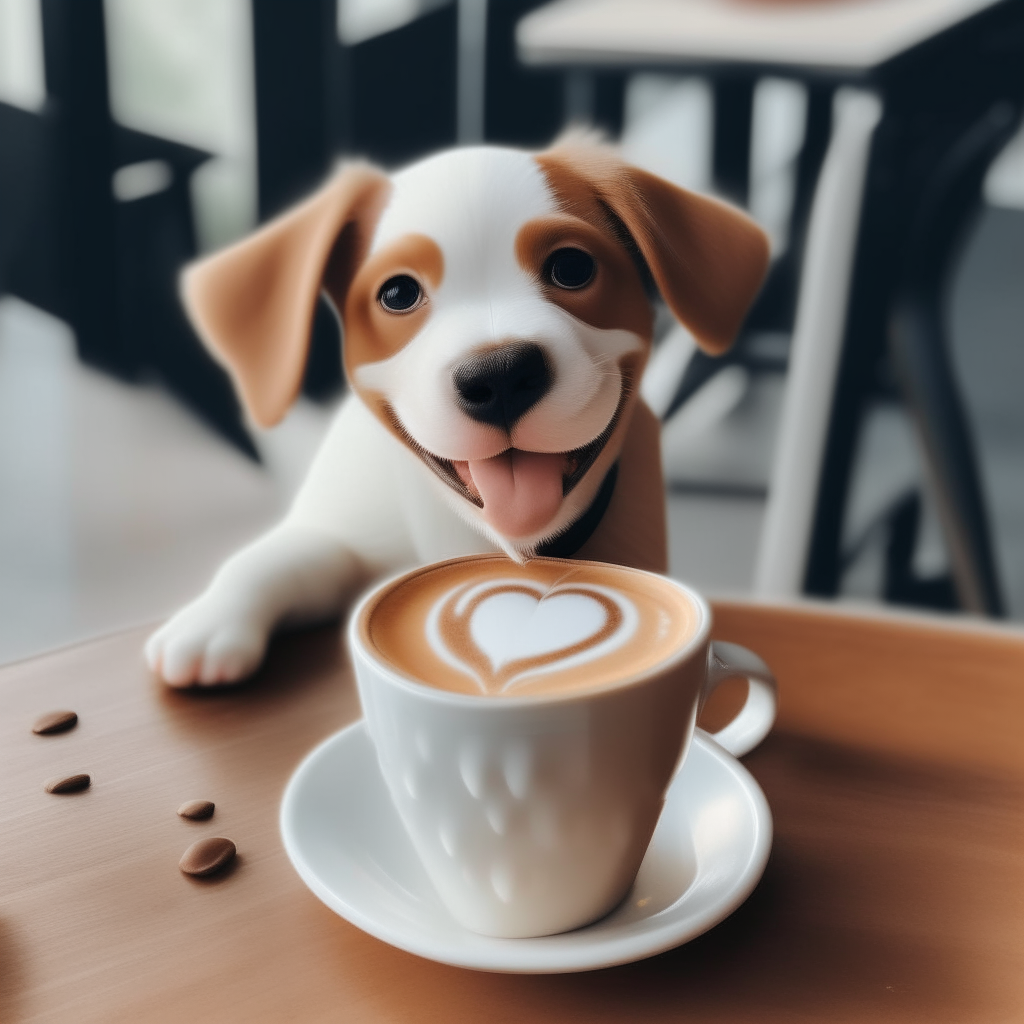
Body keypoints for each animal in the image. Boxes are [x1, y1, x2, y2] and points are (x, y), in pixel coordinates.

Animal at [146, 142, 770, 688]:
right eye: (398, 293)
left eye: (572, 267)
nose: (500, 375)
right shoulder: (345, 530)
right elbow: (278, 555)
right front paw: (210, 619)